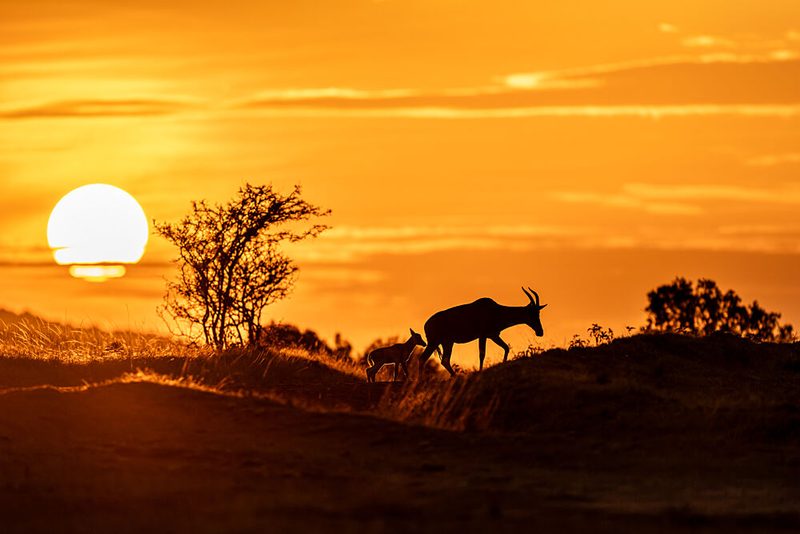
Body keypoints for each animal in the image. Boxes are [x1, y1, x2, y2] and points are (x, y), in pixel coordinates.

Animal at [418, 287, 547, 377]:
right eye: (532, 313)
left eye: (539, 312)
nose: (540, 332)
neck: (496, 310)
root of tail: (426, 325)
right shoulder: (483, 336)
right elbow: (482, 354)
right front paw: (480, 371)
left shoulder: (493, 335)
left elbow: (506, 347)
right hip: (435, 342)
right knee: (424, 359)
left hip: (447, 342)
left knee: (444, 360)